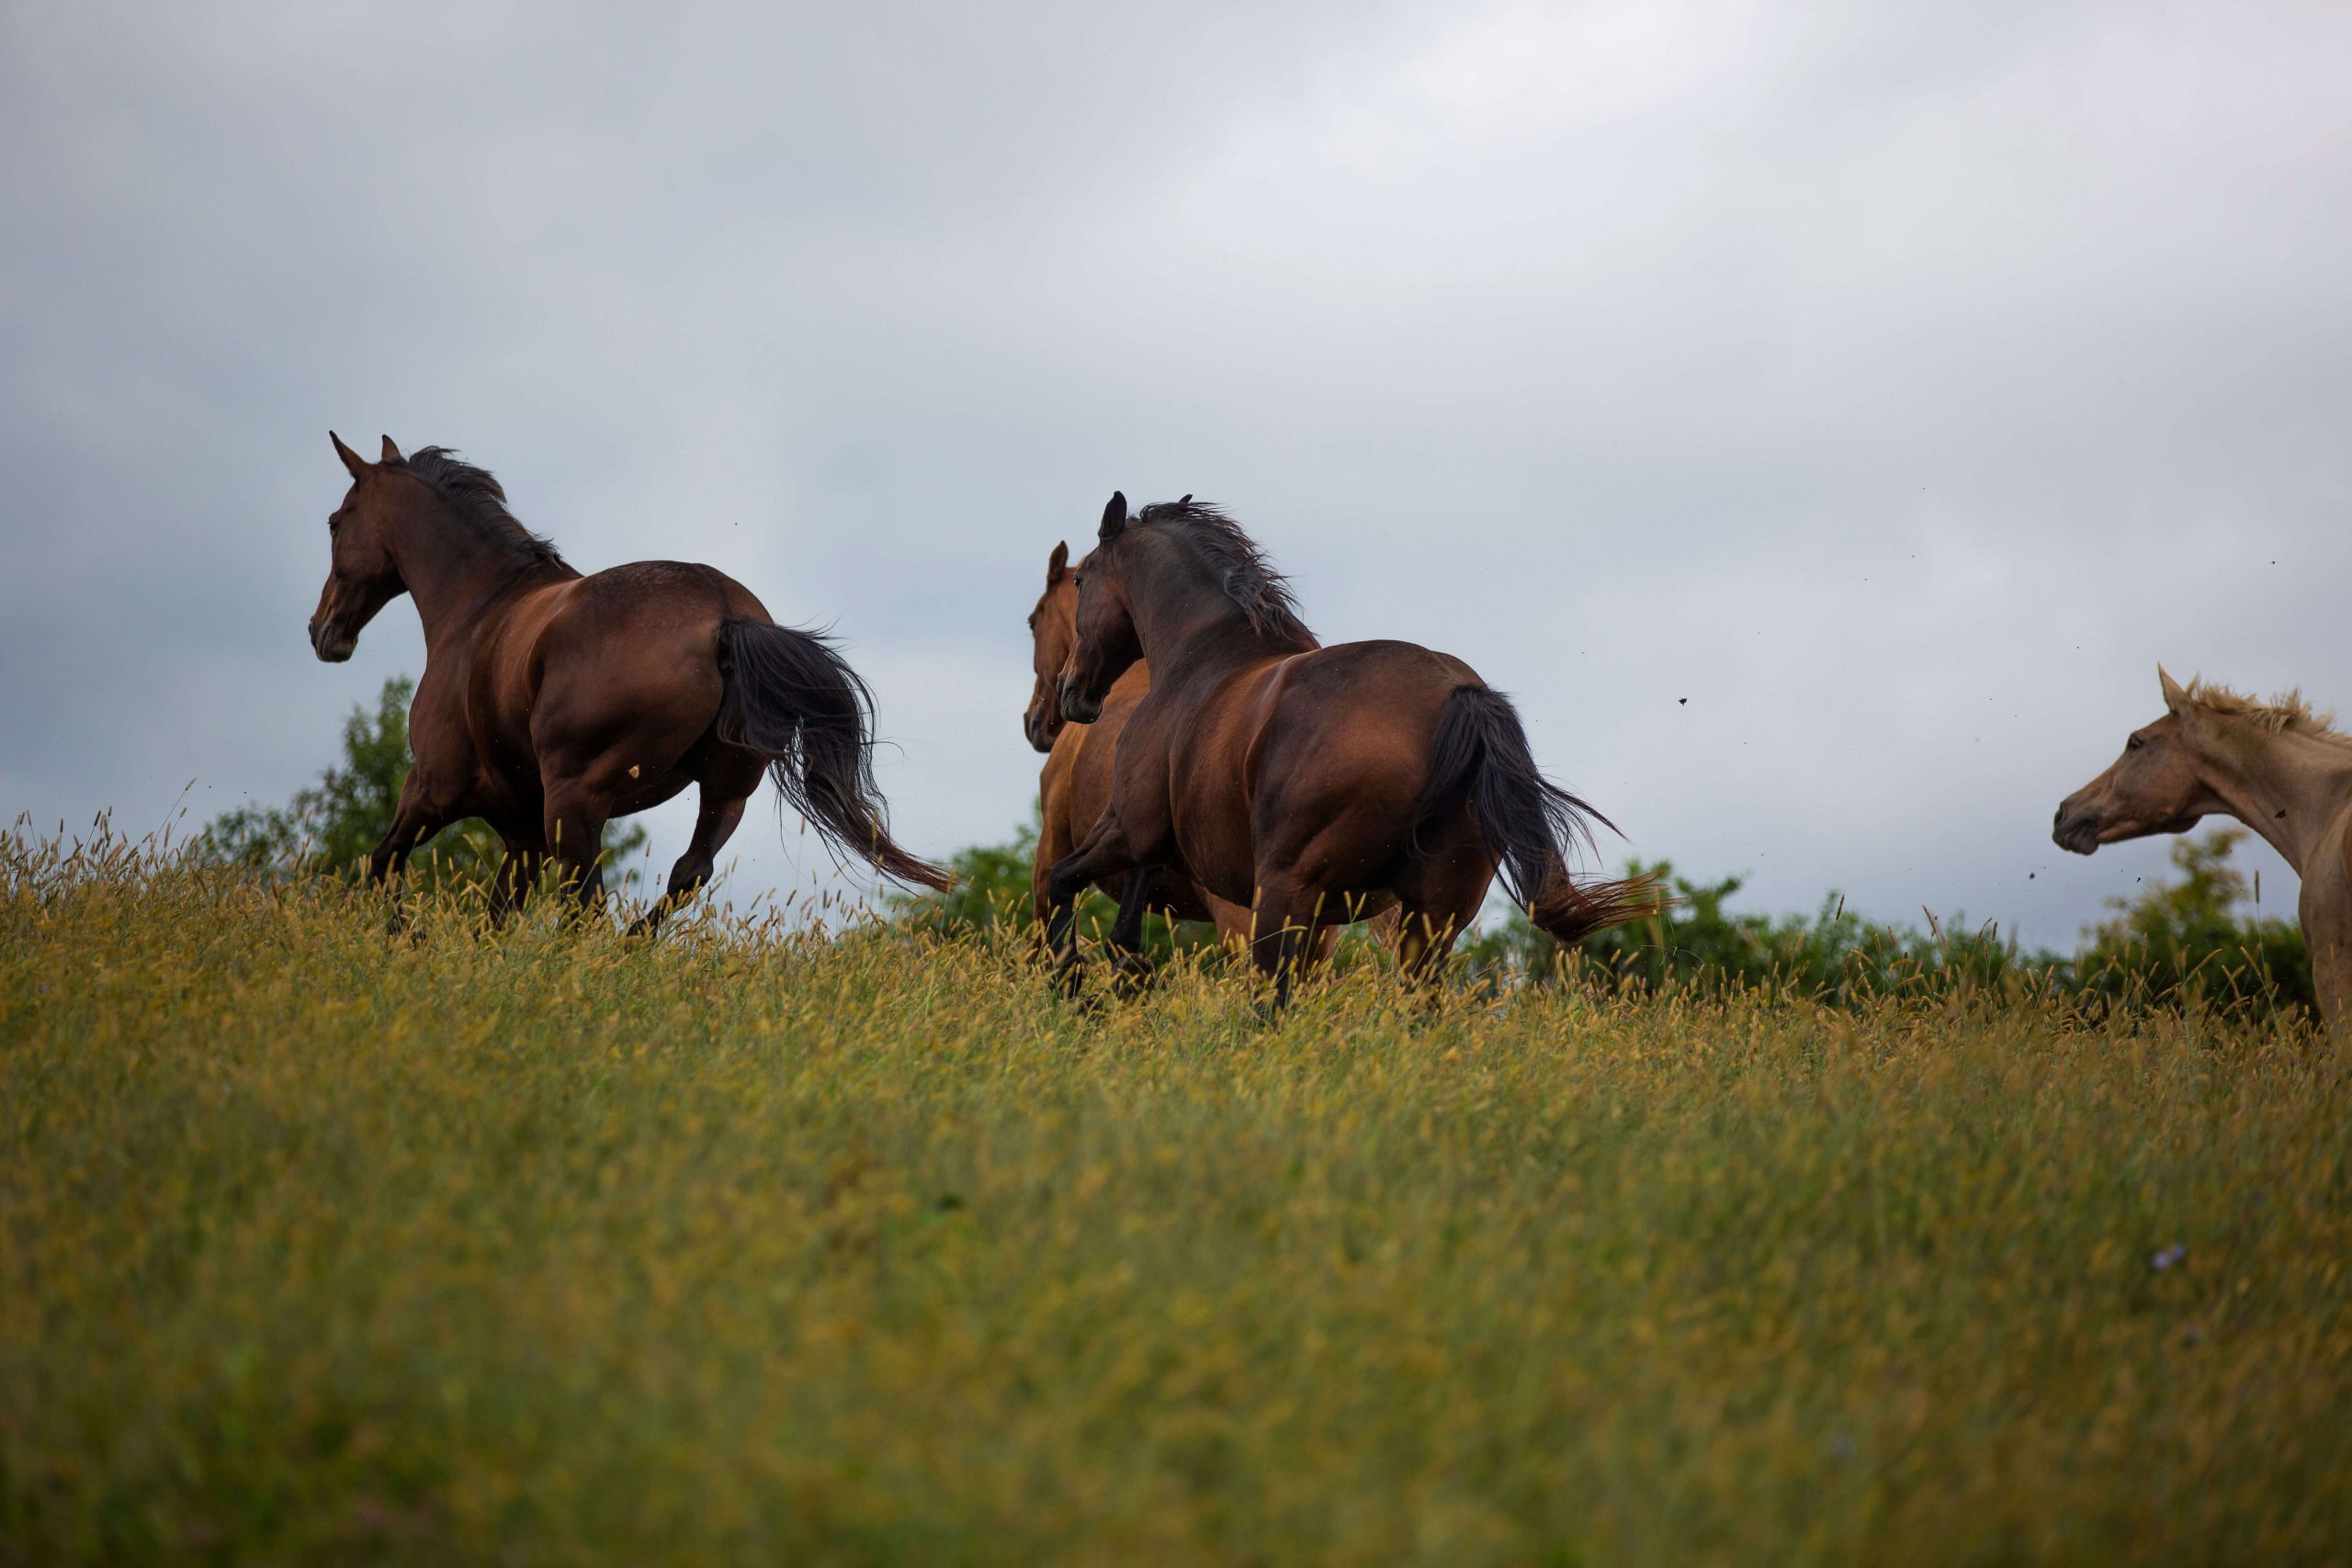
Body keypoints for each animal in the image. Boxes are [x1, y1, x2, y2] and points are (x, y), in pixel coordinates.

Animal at [308, 432, 950, 921]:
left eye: (336, 523)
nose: (322, 630)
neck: (482, 605)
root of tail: (724, 617)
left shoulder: (431, 791)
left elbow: (381, 865)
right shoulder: (520, 832)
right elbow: (491, 918)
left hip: (575, 800)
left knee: (586, 906)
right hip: (724, 794)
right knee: (685, 875)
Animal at [1048, 493, 1656, 1006]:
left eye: (1080, 581)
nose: (1070, 692)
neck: (1204, 658)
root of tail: (1456, 697)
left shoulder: (1130, 830)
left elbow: (1062, 882)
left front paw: (1070, 983)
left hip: (1286, 893)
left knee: (1272, 1003)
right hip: (1432, 915)